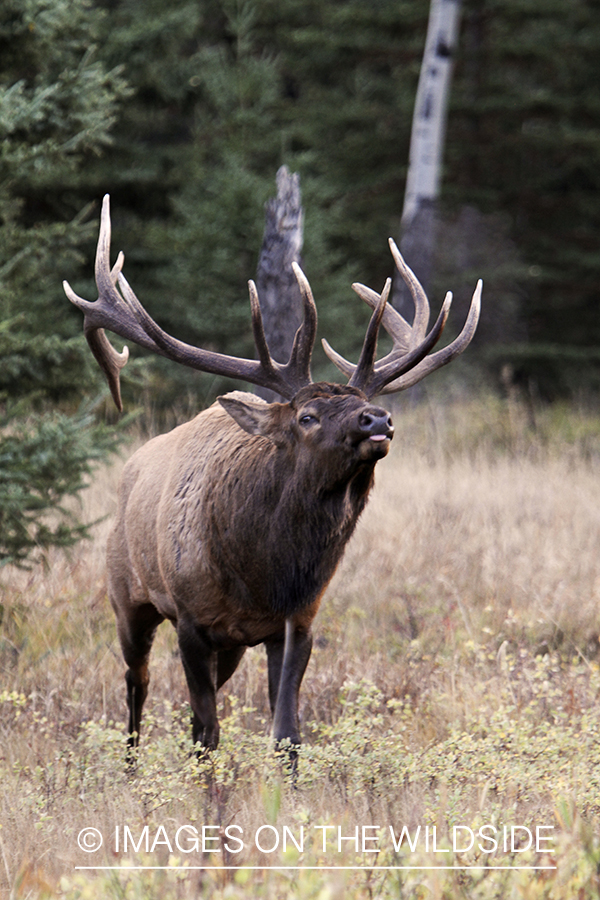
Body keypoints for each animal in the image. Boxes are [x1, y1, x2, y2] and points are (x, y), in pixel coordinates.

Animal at [63, 195, 480, 760]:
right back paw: (130, 765)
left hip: (231, 647)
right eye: (306, 416)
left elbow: (285, 734)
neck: (264, 573)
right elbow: (208, 734)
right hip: (126, 595)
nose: (377, 420)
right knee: (137, 685)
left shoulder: (297, 622)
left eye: (364, 402)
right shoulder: (192, 620)